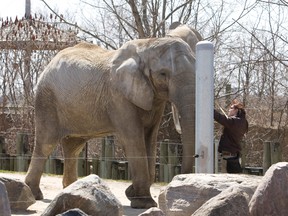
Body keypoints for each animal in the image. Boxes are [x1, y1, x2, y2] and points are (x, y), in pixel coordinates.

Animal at [24, 33, 199, 208]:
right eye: (163, 74)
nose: (180, 179)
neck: (146, 45)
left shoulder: (154, 99)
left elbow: (150, 138)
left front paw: (132, 194)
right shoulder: (118, 96)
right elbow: (133, 138)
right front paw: (144, 203)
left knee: (73, 147)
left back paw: (70, 189)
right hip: (47, 100)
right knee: (46, 144)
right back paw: (35, 194)